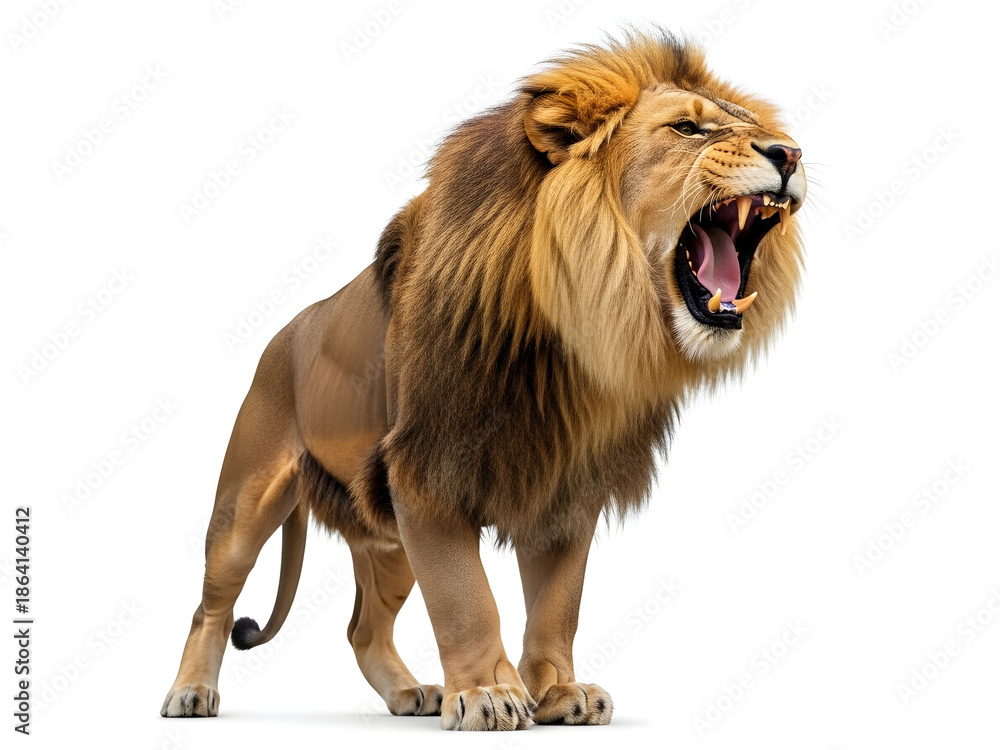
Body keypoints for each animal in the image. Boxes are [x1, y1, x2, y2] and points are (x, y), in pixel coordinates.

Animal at [160, 30, 805, 730]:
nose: (790, 152)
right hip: (246, 502)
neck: (569, 333)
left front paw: (557, 692)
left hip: (388, 541)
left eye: (758, 128)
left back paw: (409, 694)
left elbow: (558, 603)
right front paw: (488, 694)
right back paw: (189, 694)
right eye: (687, 128)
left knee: (363, 628)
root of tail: (286, 333)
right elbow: (466, 598)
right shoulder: (426, 472)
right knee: (210, 605)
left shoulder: (566, 483)